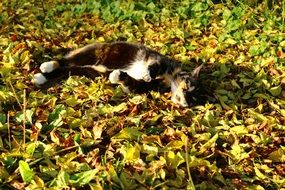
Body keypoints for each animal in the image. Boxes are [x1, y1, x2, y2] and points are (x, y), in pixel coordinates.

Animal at [33, 41, 202, 107]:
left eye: (193, 99)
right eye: (188, 86)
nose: (186, 104)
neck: (166, 80)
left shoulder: (138, 88)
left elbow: (129, 82)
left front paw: (116, 76)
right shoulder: (159, 59)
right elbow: (155, 65)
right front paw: (148, 74)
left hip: (88, 70)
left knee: (65, 70)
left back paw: (40, 77)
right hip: (91, 54)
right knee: (64, 60)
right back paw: (46, 66)